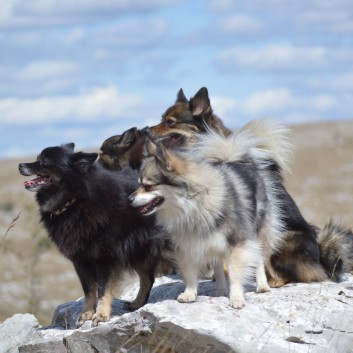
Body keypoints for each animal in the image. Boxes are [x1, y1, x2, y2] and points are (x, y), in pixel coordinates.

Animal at [19, 142, 170, 324]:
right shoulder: (81, 260)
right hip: (139, 250)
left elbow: (104, 290)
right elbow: (89, 290)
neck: (76, 199)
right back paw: (137, 304)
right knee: (148, 278)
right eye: (37, 158)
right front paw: (87, 313)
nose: (20, 165)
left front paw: (101, 314)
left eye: (44, 161)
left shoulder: (106, 258)